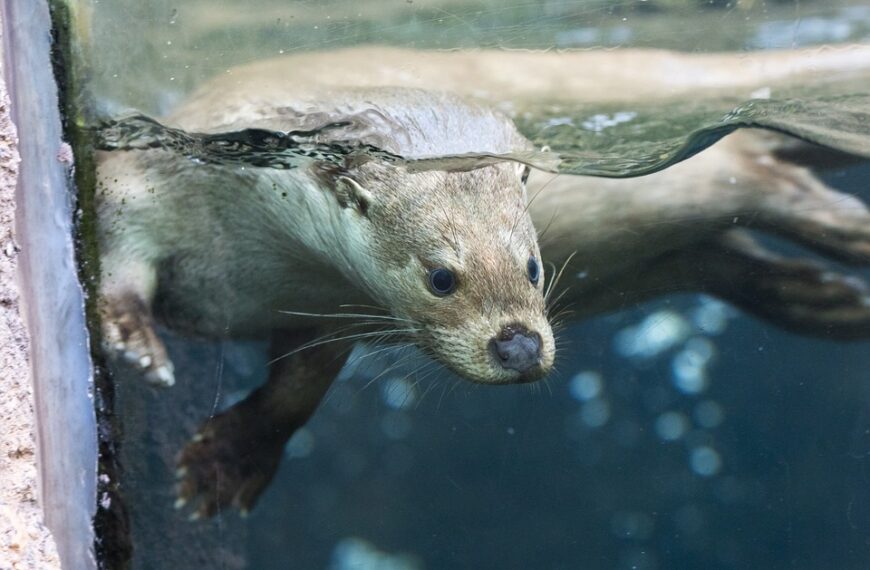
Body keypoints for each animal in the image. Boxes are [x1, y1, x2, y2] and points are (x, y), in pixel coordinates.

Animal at [95, 45, 870, 516]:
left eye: (532, 265)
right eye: (441, 277)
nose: (521, 347)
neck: (260, 262)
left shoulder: (329, 311)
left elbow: (295, 395)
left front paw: (228, 462)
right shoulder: (136, 184)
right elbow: (116, 265)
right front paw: (137, 342)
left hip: (692, 177)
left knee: (764, 172)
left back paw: (845, 238)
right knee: (729, 244)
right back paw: (825, 298)